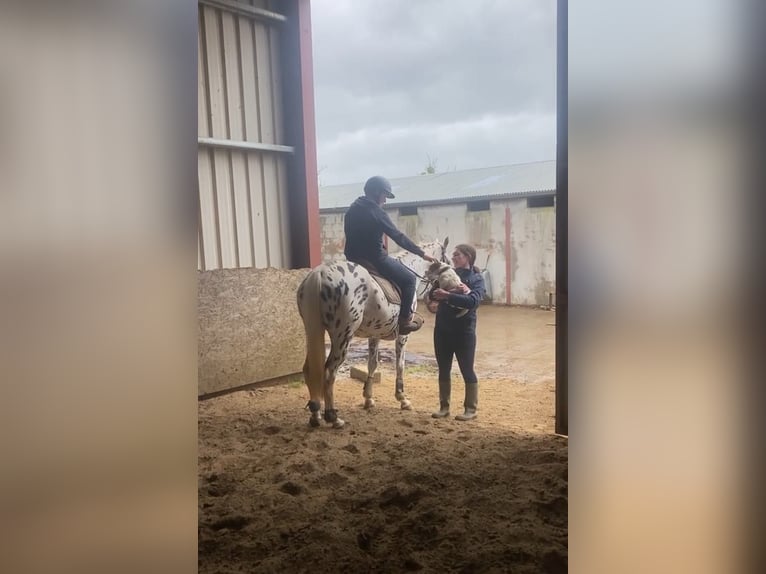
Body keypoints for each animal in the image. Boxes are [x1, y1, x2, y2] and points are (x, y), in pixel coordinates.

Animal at [296, 236, 450, 430]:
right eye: (446, 259)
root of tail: (320, 274)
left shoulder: (374, 334)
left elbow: (372, 364)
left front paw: (368, 398)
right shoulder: (403, 335)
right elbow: (400, 365)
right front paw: (403, 399)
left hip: (313, 329)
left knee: (311, 369)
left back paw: (315, 415)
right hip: (343, 336)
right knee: (329, 372)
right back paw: (333, 418)